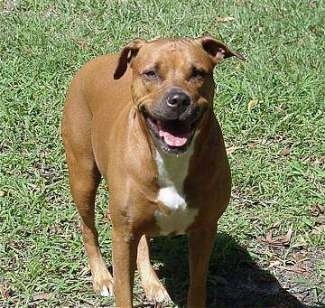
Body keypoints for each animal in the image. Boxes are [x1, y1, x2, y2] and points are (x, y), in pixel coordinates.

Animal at [60, 37, 243, 306]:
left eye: (198, 73)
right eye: (151, 73)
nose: (179, 99)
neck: (171, 159)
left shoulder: (205, 229)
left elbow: (197, 285)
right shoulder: (123, 235)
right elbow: (124, 291)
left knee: (143, 242)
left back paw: (152, 283)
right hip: (82, 177)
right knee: (87, 227)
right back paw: (102, 277)